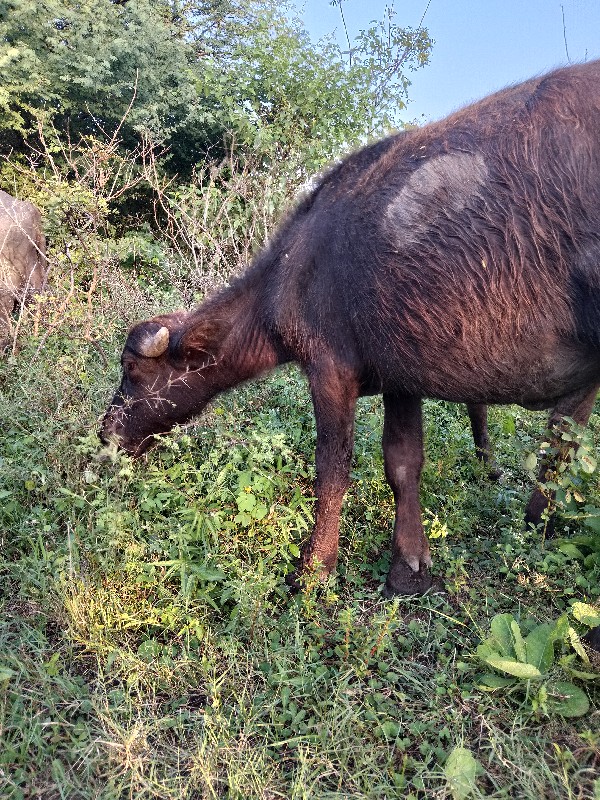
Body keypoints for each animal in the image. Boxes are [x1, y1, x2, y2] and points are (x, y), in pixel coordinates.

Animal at [102, 62, 600, 608]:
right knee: (560, 447)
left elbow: (333, 466)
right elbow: (403, 461)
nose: (106, 434)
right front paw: (409, 568)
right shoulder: (403, 376)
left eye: (131, 369)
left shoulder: (329, 369)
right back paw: (536, 525)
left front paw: (314, 567)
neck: (292, 272)